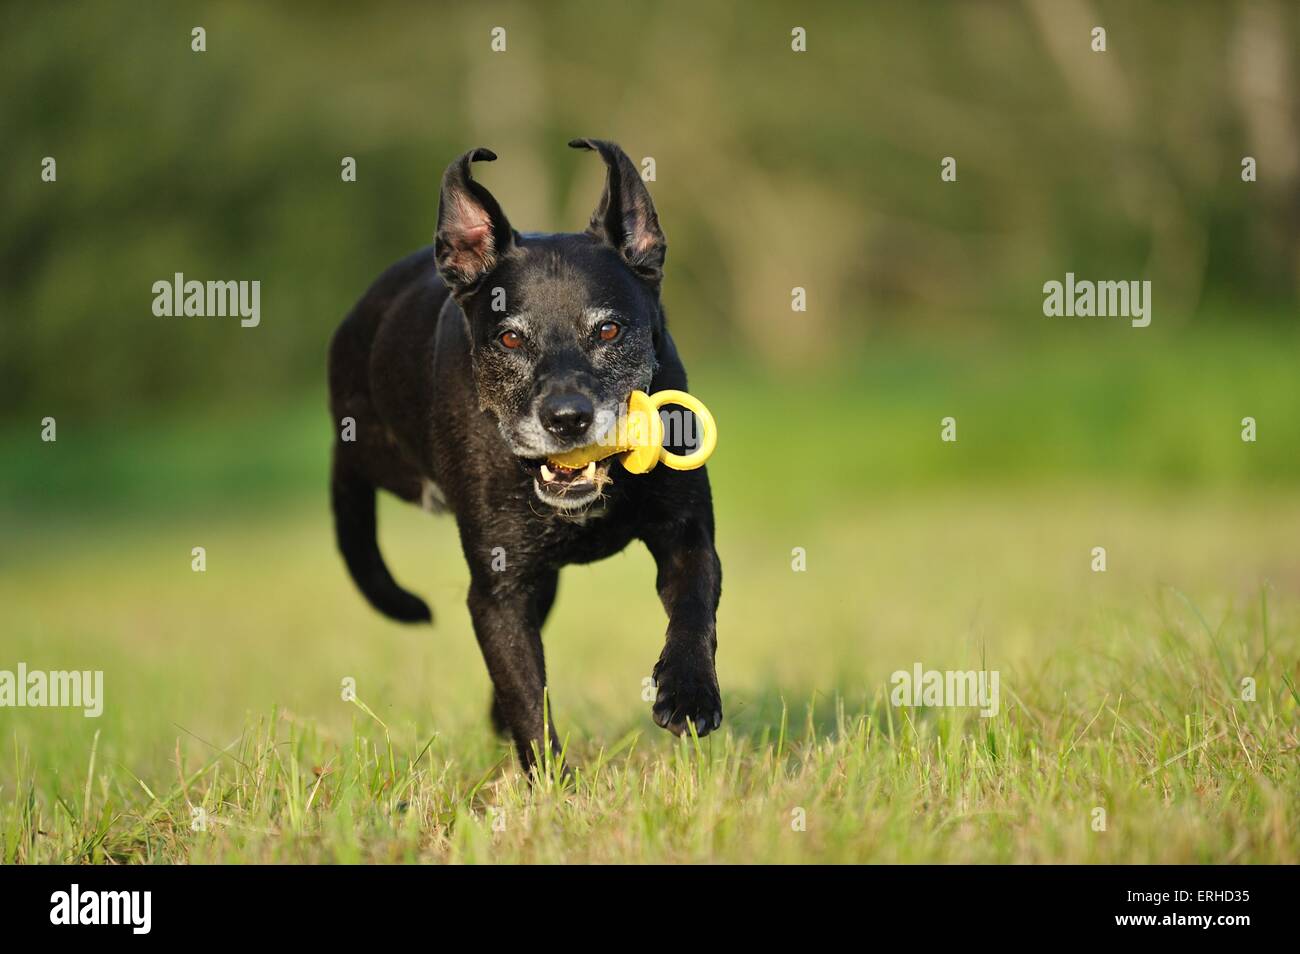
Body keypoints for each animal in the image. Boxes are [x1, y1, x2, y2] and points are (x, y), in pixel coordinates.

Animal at [327, 140, 722, 769]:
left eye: (609, 331)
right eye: (510, 338)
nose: (566, 418)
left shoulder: (686, 535)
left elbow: (693, 607)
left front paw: (688, 693)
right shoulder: (499, 589)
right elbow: (526, 697)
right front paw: (552, 782)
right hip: (372, 448)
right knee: (347, 485)